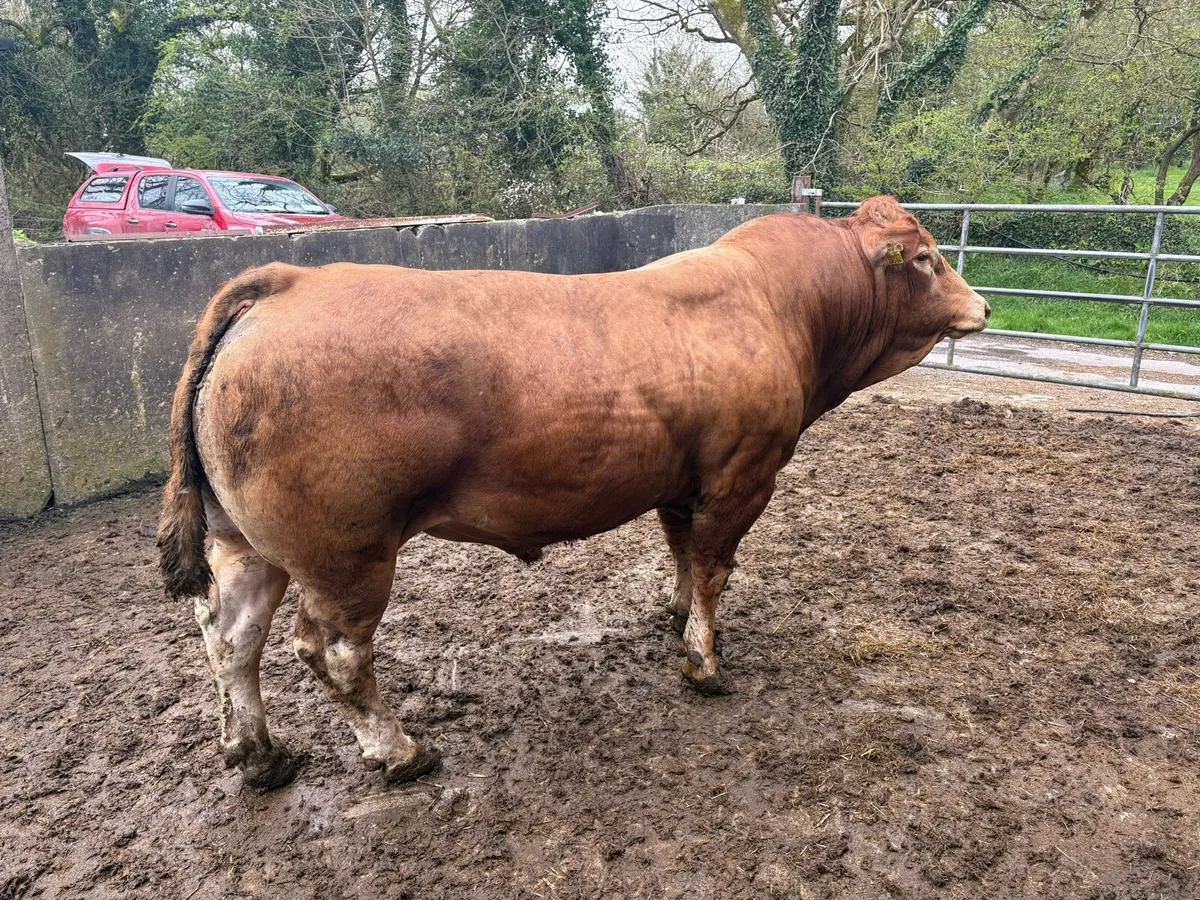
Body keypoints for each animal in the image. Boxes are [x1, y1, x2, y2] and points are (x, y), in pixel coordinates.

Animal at [158, 196, 990, 790]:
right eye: (925, 257)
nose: (983, 305)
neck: (781, 305)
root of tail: (288, 282)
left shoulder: (680, 479)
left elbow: (680, 548)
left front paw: (675, 613)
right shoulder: (743, 475)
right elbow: (714, 565)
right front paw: (704, 660)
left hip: (248, 543)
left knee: (229, 636)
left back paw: (258, 755)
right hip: (346, 552)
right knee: (332, 652)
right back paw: (398, 752)